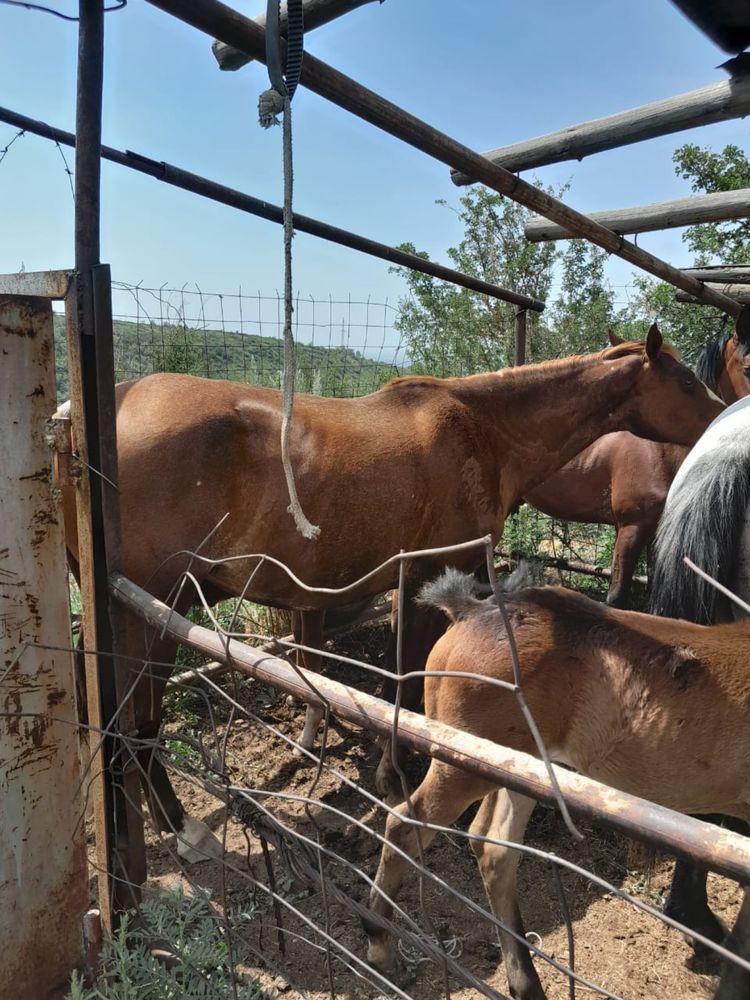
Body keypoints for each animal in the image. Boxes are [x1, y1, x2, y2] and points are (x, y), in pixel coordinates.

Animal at [60, 326, 724, 860]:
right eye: (689, 382)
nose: (727, 417)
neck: (484, 431)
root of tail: (95, 411)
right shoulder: (428, 576)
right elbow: (407, 673)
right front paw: (393, 775)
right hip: (150, 612)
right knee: (136, 723)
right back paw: (183, 829)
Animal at [368, 572, 750, 1000]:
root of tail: (474, 609)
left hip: (522, 767)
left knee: (493, 847)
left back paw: (525, 982)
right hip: (462, 766)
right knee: (404, 824)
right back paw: (379, 942)